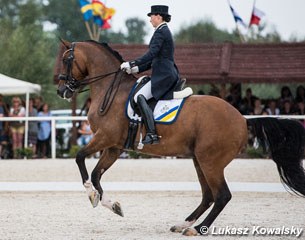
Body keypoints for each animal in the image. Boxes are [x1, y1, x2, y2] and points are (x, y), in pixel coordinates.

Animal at [56, 40, 304, 235]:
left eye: (67, 59)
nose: (61, 91)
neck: (111, 91)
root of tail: (243, 119)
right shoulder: (114, 147)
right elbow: (97, 174)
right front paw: (112, 205)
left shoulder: (104, 138)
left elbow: (80, 159)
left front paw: (92, 195)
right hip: (199, 160)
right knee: (208, 196)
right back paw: (182, 224)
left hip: (210, 161)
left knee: (222, 195)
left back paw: (197, 229)